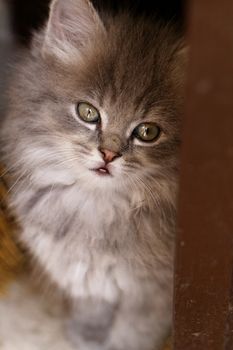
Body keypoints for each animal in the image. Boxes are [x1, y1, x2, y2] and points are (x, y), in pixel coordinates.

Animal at [0, 0, 186, 350]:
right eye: (88, 112)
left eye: (148, 132)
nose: (108, 155)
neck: (97, 209)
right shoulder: (86, 280)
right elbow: (92, 316)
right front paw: (84, 338)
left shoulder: (151, 295)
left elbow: (132, 334)